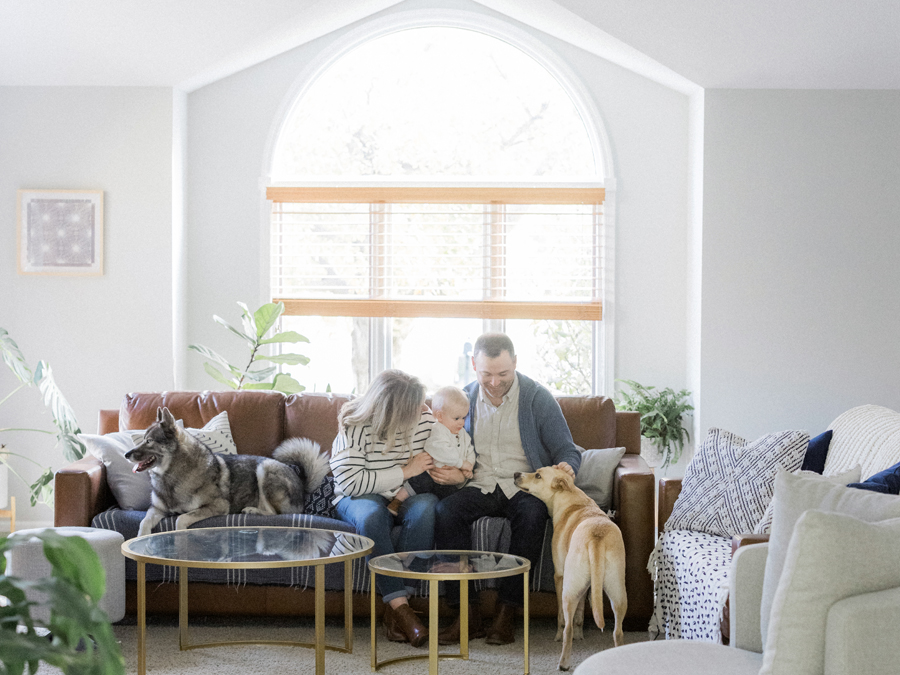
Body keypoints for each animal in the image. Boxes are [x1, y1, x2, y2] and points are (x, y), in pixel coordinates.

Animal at [121, 406, 328, 540]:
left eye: (149, 441)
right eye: (143, 439)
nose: (126, 454)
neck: (171, 475)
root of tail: (301, 482)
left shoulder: (218, 506)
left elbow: (181, 518)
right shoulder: (156, 509)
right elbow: (143, 523)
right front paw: (142, 539)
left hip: (265, 469)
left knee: (274, 512)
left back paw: (252, 509)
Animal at [512, 464, 624, 672]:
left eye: (538, 475)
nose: (516, 474)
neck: (570, 499)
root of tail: (596, 536)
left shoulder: (560, 576)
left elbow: (561, 618)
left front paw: (559, 635)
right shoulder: (585, 585)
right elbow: (580, 613)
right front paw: (580, 635)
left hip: (568, 591)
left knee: (567, 628)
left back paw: (563, 663)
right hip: (618, 592)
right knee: (617, 632)